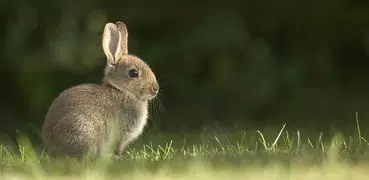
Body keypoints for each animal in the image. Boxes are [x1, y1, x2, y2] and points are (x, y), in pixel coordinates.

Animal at [42, 21, 160, 159]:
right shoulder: (121, 134)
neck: (122, 90)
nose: (155, 88)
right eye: (133, 73)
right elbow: (118, 147)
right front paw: (119, 157)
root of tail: (51, 145)